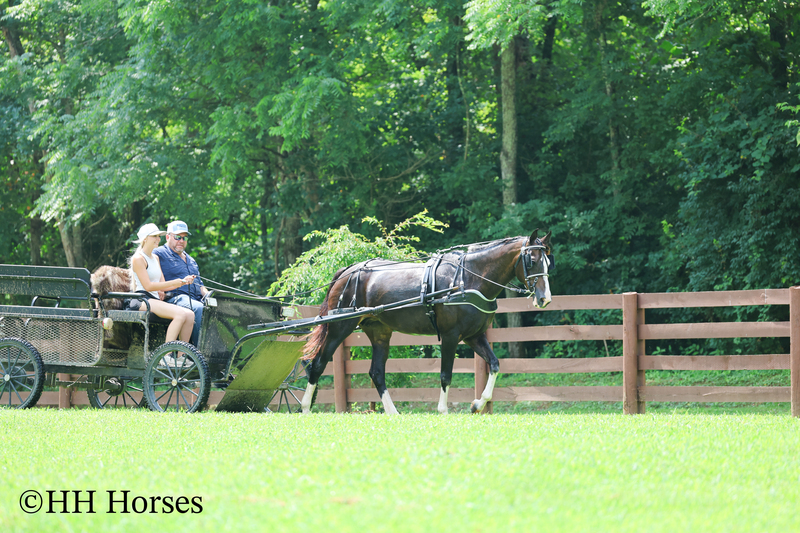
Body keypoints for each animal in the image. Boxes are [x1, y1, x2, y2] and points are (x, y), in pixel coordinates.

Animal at [300, 230, 553, 414]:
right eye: (531, 260)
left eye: (548, 262)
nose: (545, 299)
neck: (467, 279)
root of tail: (348, 271)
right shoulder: (451, 336)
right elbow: (446, 374)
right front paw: (442, 410)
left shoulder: (474, 336)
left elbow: (494, 364)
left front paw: (477, 404)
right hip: (339, 327)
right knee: (318, 364)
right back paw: (305, 408)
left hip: (379, 332)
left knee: (376, 372)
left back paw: (393, 413)